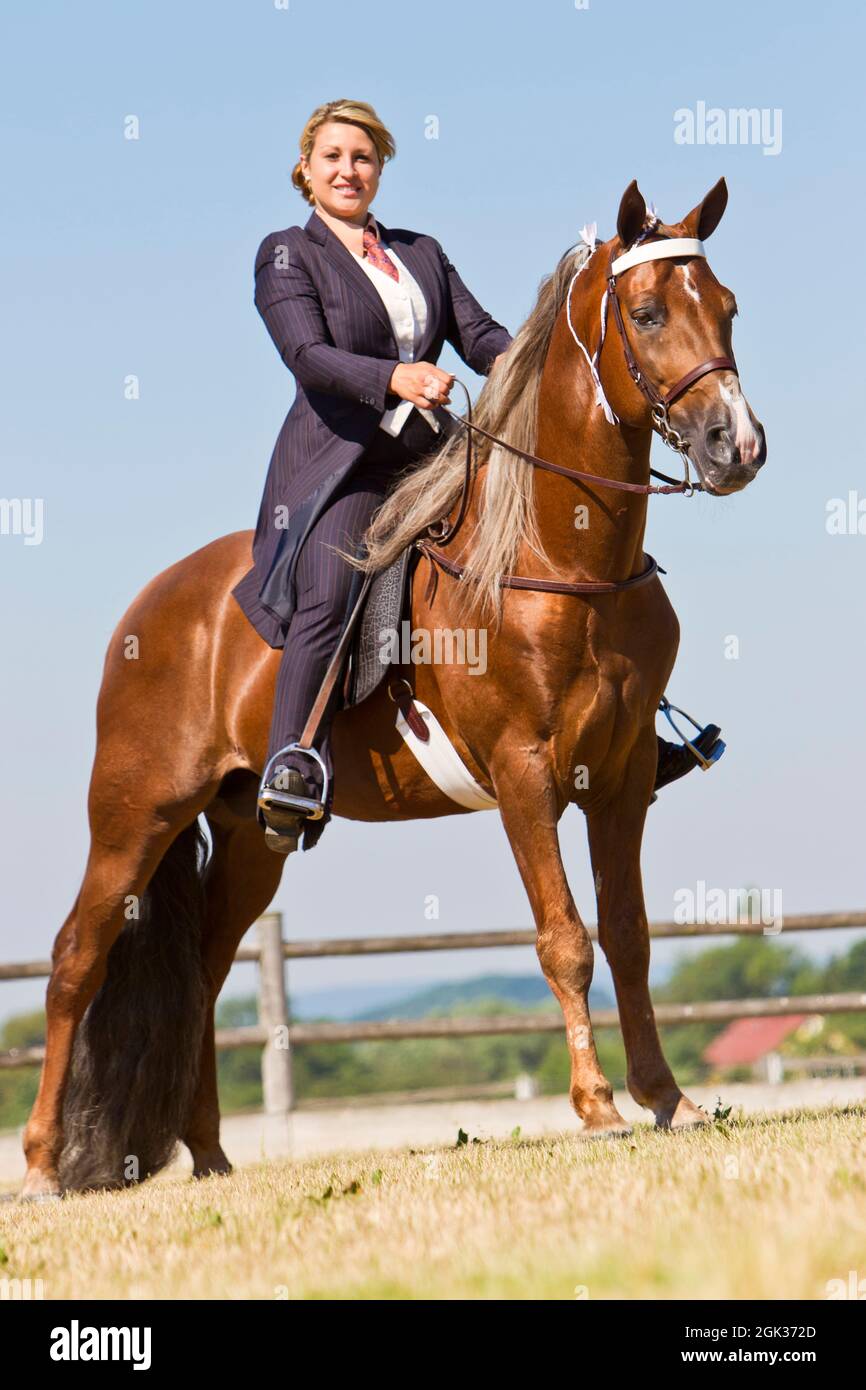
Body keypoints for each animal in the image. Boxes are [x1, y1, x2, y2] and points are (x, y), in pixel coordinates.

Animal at [21, 179, 766, 1199]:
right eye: (647, 314)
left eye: (727, 307)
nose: (739, 445)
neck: (559, 555)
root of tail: (151, 606)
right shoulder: (525, 776)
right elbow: (566, 938)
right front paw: (598, 1108)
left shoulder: (617, 785)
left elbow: (630, 935)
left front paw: (666, 1098)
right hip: (136, 812)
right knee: (75, 961)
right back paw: (43, 1165)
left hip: (249, 835)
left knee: (205, 974)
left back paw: (210, 1154)